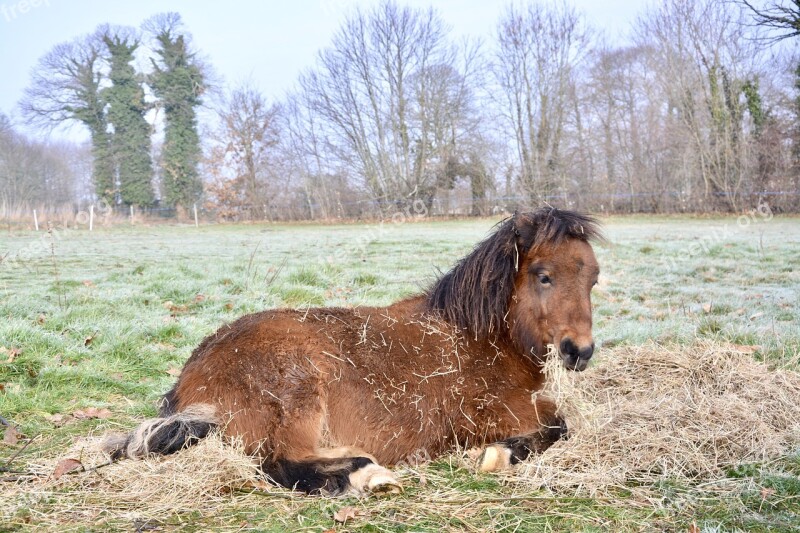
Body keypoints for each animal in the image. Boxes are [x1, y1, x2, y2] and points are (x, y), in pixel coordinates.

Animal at [108, 207, 608, 494]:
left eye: (593, 278)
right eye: (543, 275)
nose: (579, 352)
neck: (479, 337)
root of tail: (191, 379)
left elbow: (562, 423)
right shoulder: (501, 413)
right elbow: (560, 426)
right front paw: (496, 456)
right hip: (298, 397)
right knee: (276, 464)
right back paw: (363, 474)